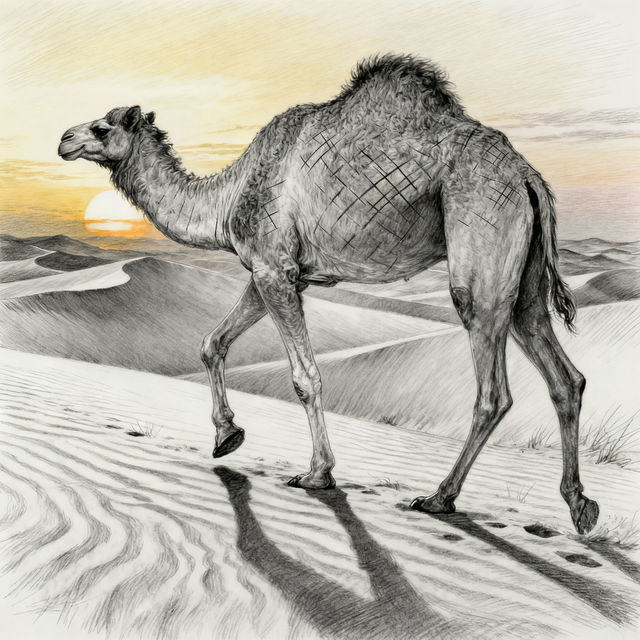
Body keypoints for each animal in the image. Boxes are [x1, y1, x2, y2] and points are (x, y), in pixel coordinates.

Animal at [58, 54, 598, 534]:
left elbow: (305, 378)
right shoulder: (275, 272)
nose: (63, 138)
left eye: (102, 128)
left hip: (481, 236)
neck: (229, 196)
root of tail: (528, 177)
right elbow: (212, 342)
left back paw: (439, 497)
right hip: (522, 278)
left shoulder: (274, 268)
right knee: (563, 375)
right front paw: (227, 436)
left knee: (492, 388)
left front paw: (318, 472)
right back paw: (579, 506)